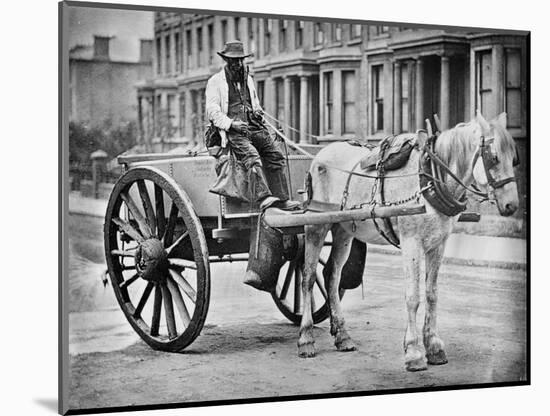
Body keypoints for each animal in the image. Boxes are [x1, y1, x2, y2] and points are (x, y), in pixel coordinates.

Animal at [300, 109, 520, 370]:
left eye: (514, 158)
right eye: (493, 157)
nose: (512, 205)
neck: (431, 179)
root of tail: (319, 156)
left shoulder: (438, 244)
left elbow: (432, 293)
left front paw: (433, 346)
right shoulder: (411, 241)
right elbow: (413, 296)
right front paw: (414, 351)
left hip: (344, 228)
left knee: (332, 276)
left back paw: (342, 335)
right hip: (316, 225)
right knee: (308, 278)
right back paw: (306, 338)